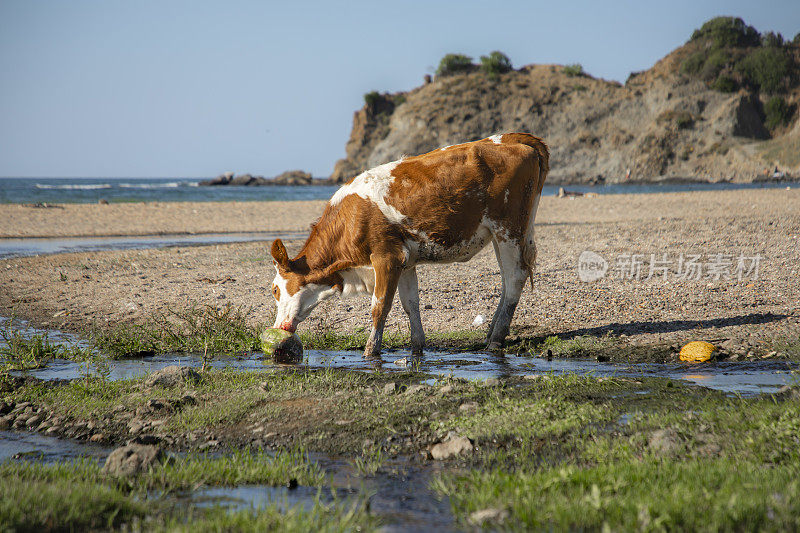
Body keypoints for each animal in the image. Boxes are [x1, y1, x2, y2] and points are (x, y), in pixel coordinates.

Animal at [268, 133, 552, 358]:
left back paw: (496, 339)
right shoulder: (405, 262)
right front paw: (417, 347)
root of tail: (510, 137)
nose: (279, 326)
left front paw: (371, 351)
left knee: (515, 276)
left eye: (275, 289)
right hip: (501, 233)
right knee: (506, 279)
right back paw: (491, 331)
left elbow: (380, 306)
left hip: (509, 227)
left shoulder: (386, 257)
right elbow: (410, 304)